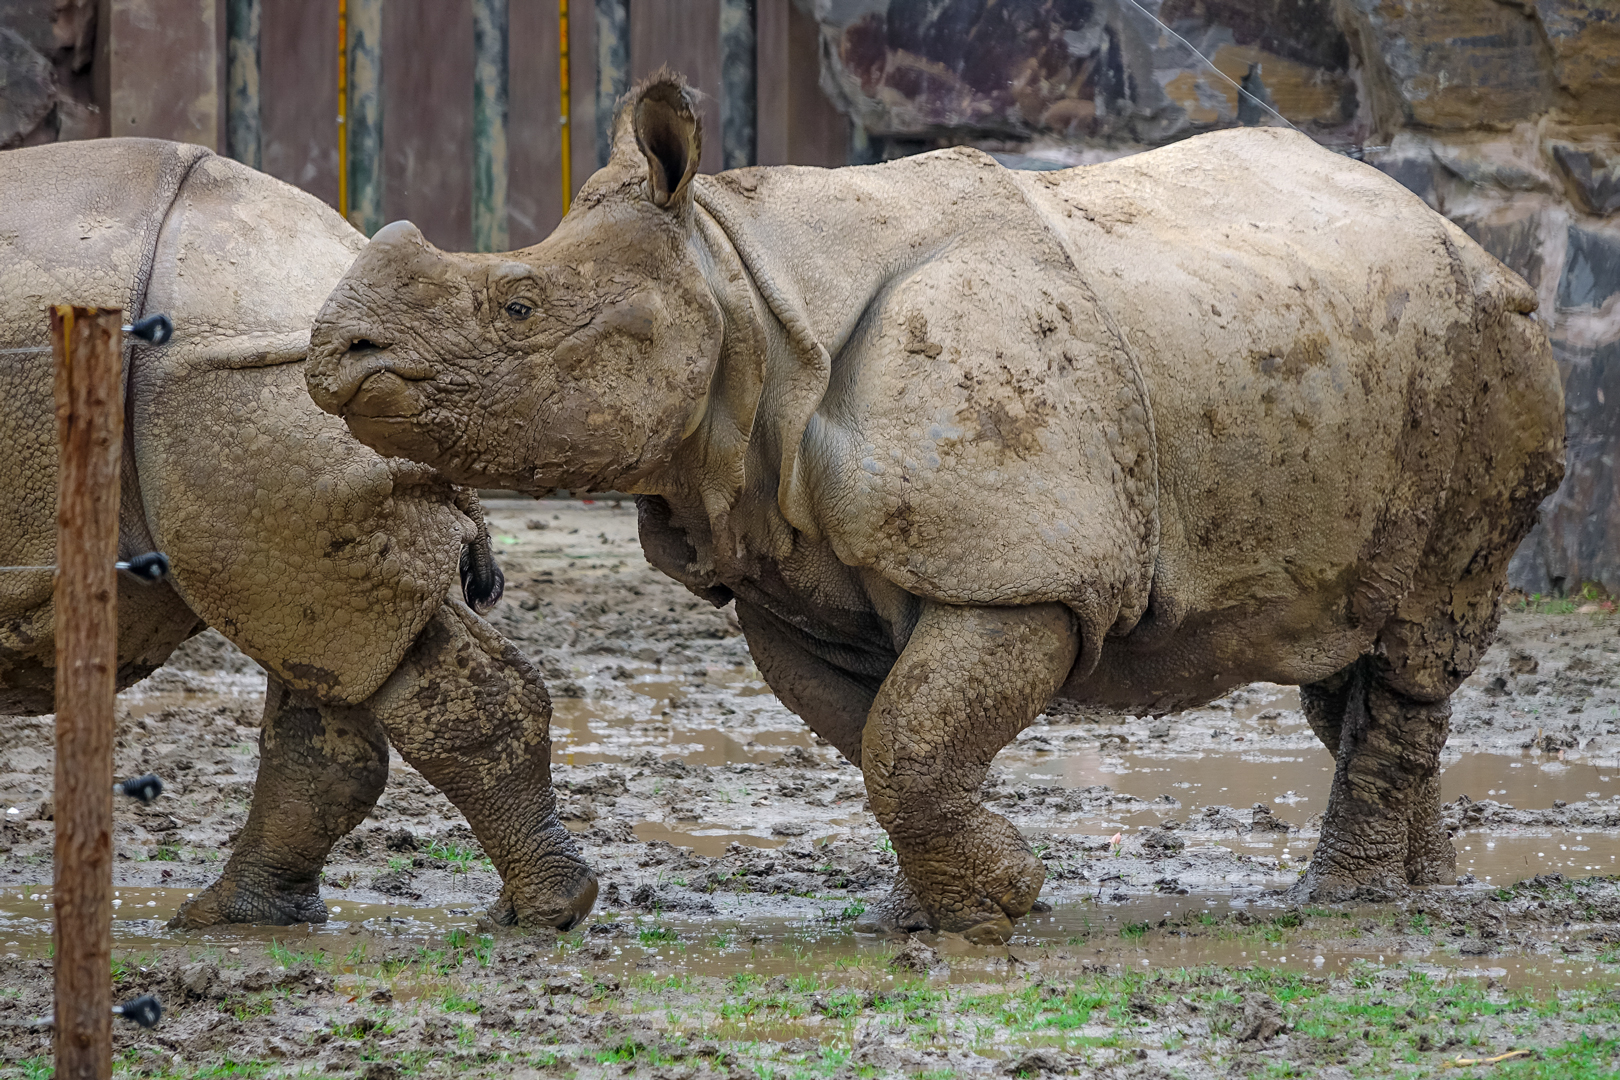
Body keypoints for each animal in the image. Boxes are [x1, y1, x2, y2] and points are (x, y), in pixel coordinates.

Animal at [308, 74, 1565, 939]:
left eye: (517, 308)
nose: (336, 355)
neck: (740, 288)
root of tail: (1466, 238)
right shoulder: (791, 575)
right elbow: (885, 734)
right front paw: (929, 913)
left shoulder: (1026, 573)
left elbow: (907, 741)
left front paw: (996, 903)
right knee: (1347, 644)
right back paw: (1425, 888)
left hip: (1493, 355)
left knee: (1420, 630)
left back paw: (1342, 903)